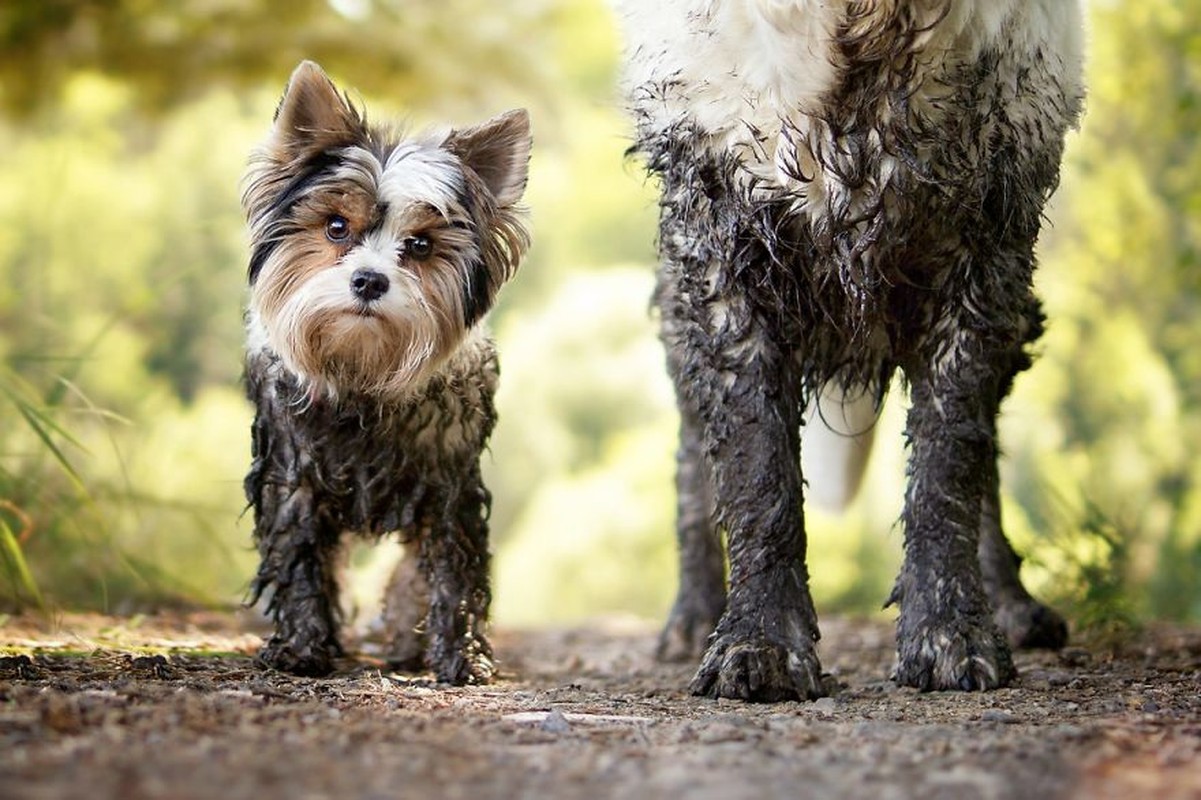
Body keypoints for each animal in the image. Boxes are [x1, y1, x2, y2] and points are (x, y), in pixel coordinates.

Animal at [238, 63, 530, 687]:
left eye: (419, 245)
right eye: (336, 227)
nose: (369, 280)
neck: (362, 372)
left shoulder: (449, 485)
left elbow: (449, 570)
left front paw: (461, 655)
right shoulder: (294, 477)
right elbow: (302, 561)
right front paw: (302, 645)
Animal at [614, 1, 1085, 696]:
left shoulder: (987, 242)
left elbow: (950, 468)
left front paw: (949, 632)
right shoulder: (720, 245)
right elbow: (758, 475)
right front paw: (757, 642)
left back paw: (1011, 603)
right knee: (694, 461)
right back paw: (693, 617)